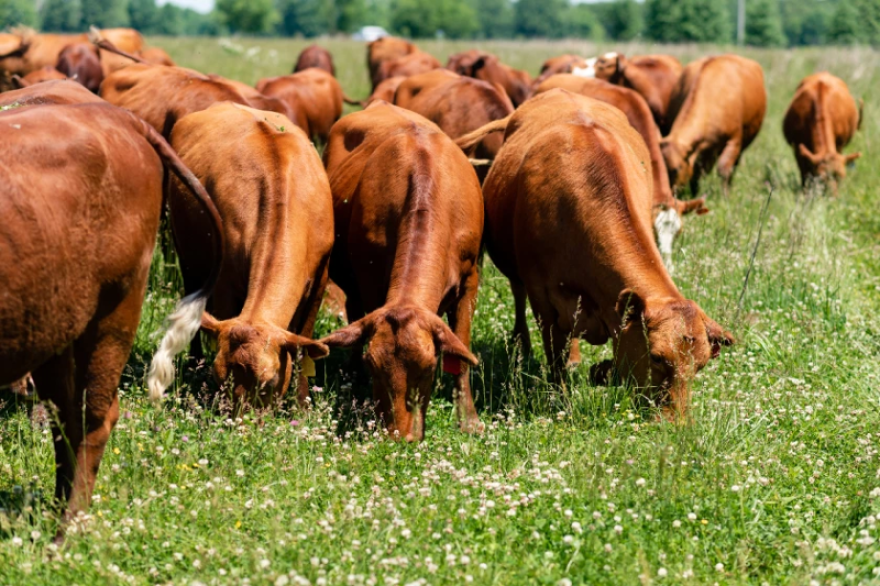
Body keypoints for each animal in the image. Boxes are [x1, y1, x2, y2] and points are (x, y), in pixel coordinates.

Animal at [0, 102, 222, 537]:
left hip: (115, 310)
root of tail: (113, 114)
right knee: (66, 417)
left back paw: (67, 529)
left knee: (95, 418)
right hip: (55, 326)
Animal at [148, 102, 333, 408]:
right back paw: (193, 362)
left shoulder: (321, 277)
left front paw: (301, 404)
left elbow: (303, 347)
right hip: (186, 252)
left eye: (268, 381)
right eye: (219, 378)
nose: (236, 420)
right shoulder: (225, 283)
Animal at [319, 102, 484, 441]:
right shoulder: (369, 282)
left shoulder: (470, 279)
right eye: (374, 367)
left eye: (429, 368)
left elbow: (461, 353)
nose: (399, 437)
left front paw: (469, 420)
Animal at [661, 55, 766, 196]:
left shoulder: (734, 140)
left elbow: (724, 170)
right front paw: (695, 194)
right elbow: (697, 172)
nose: (669, 194)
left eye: (676, 169)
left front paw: (725, 196)